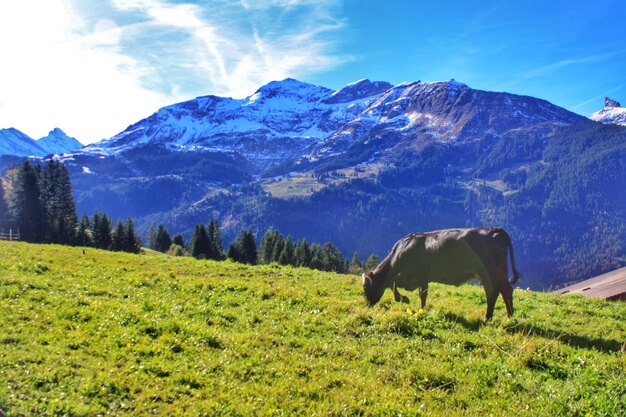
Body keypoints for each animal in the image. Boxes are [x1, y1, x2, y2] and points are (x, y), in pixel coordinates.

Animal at [358, 228, 520, 318]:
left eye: (365, 287)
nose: (367, 305)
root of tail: (495, 229)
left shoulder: (415, 275)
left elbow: (397, 287)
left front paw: (406, 300)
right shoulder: (419, 278)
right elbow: (419, 293)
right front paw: (420, 307)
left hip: (493, 271)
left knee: (503, 290)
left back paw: (503, 317)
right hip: (488, 274)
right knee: (495, 292)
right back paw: (497, 316)